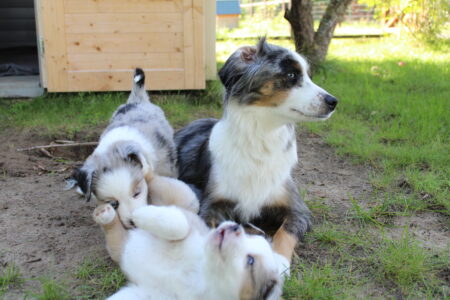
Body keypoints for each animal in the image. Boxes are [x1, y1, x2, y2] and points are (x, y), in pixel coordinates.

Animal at [93, 203, 284, 298]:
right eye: (250, 236)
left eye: (250, 260)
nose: (235, 227)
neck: (199, 272)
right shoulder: (191, 222)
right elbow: (178, 225)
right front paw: (140, 213)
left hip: (119, 248)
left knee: (115, 236)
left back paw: (105, 215)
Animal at [176, 38, 338, 274]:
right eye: (291, 75)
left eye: (308, 75)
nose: (333, 101)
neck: (260, 138)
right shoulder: (211, 204)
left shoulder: (299, 209)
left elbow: (285, 232)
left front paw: (278, 260)